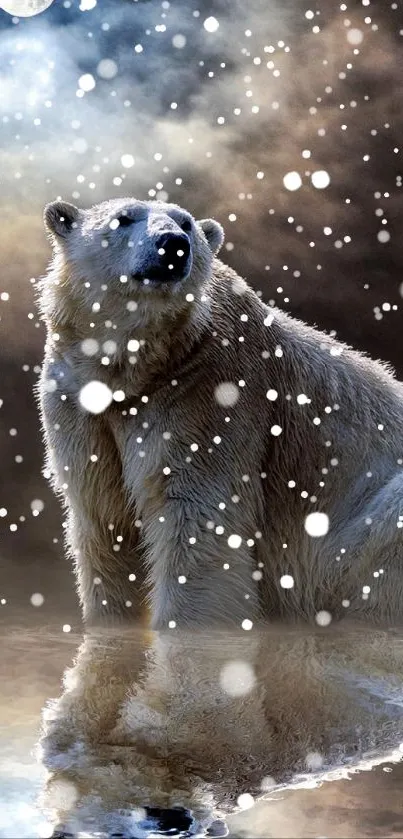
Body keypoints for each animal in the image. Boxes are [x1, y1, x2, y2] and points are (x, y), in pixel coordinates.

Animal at [38, 197, 403, 632]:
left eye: (186, 223)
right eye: (122, 218)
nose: (173, 244)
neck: (139, 368)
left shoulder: (208, 393)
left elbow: (199, 524)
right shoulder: (79, 404)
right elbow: (105, 522)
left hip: (368, 528)